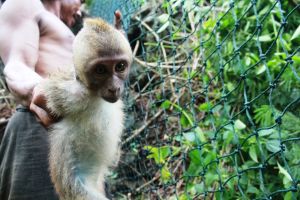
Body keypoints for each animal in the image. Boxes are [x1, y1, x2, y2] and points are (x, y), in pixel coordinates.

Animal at [40, 15, 132, 198]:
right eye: (100, 70)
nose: (114, 88)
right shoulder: (74, 95)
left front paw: (120, 28)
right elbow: (50, 94)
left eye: (120, 66)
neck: (94, 95)